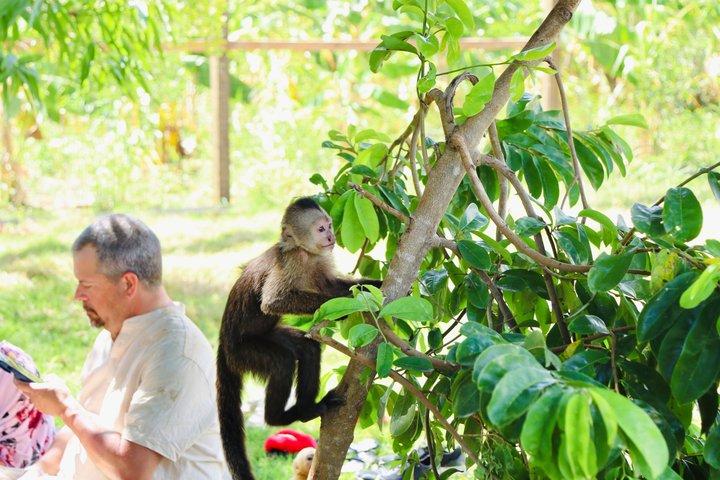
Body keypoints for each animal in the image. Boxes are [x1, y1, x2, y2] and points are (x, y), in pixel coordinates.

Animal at [216, 197, 383, 480]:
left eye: (330, 225)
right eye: (320, 229)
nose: (331, 237)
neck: (304, 252)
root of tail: (222, 344)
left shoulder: (320, 260)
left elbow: (332, 285)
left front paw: (371, 286)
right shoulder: (290, 262)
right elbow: (274, 302)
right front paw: (351, 302)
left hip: (269, 337)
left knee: (306, 347)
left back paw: (308, 409)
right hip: (243, 352)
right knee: (281, 361)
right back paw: (279, 418)